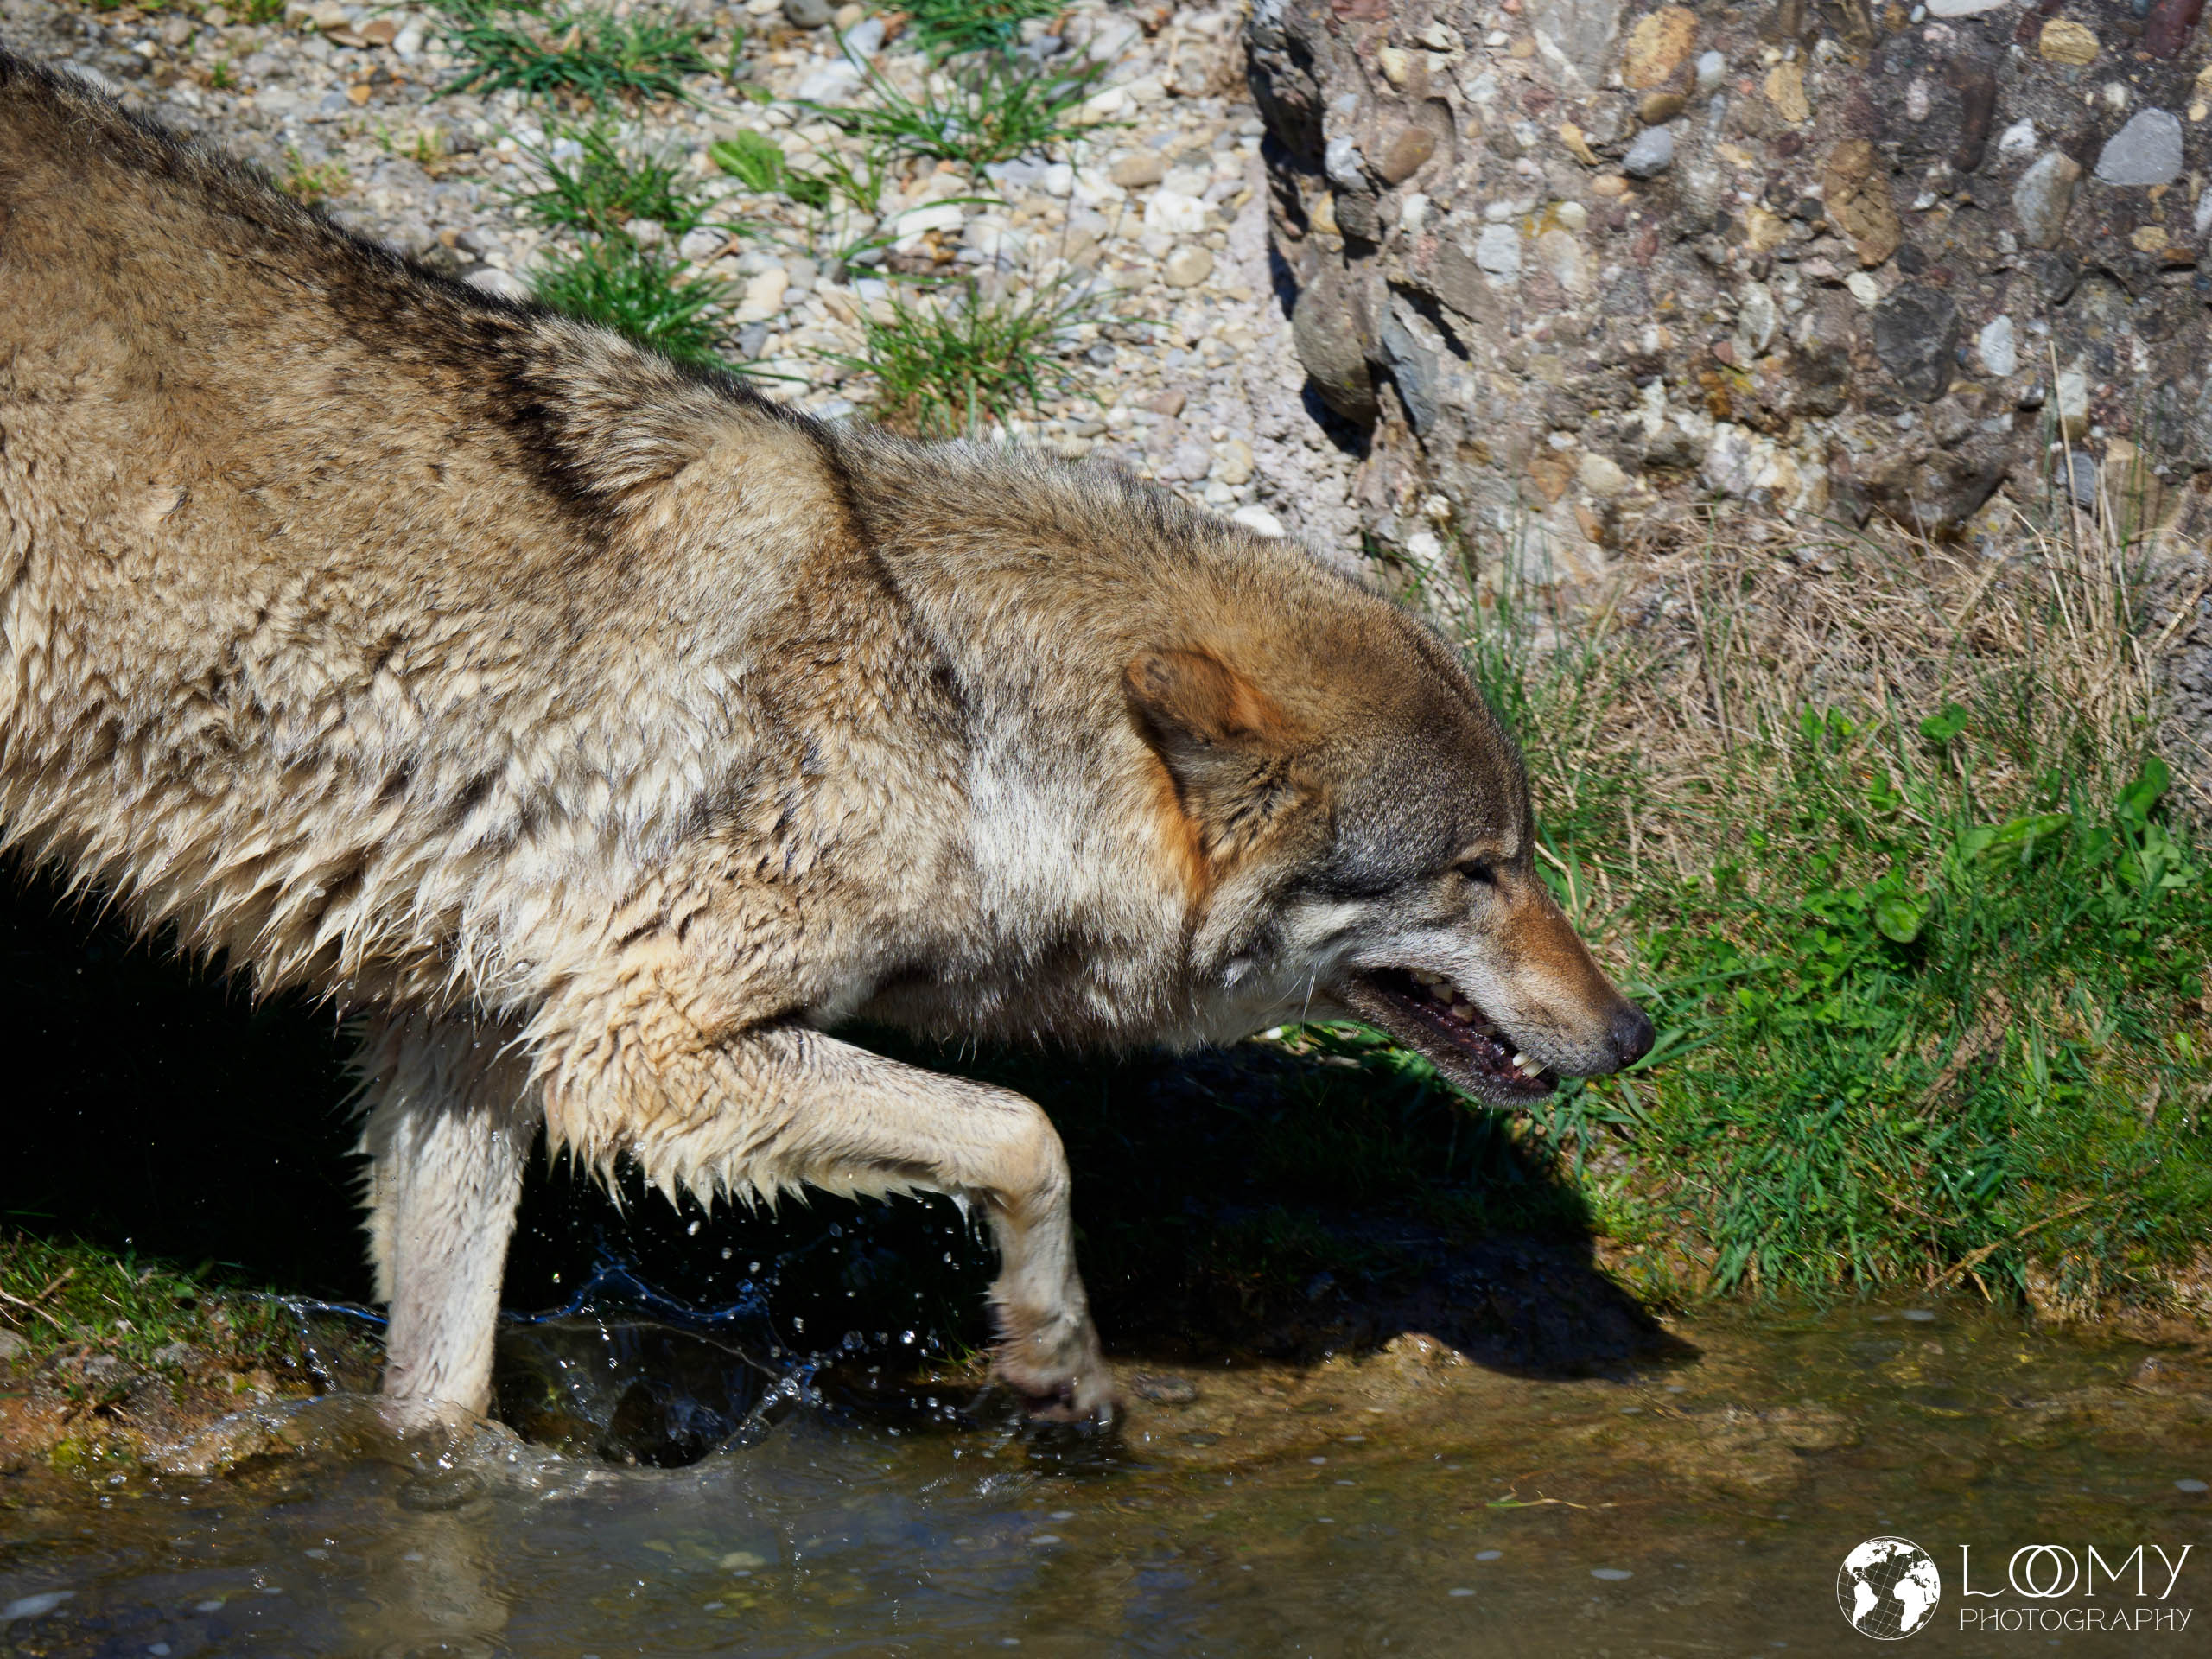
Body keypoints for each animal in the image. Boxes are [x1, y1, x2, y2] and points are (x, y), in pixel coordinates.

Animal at [0, 51, 1651, 1426]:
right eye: (1479, 871)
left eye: (1519, 855)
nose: (1636, 1034)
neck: (952, 713)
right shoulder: (637, 1048)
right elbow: (1026, 1129)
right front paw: (1056, 1358)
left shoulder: (471, 1031)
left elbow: (441, 1385)